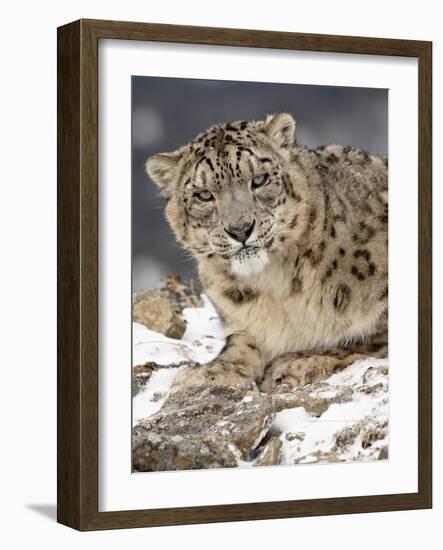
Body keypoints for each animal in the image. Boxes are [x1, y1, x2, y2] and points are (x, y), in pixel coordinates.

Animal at [147, 114, 388, 394]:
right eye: (204, 195)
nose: (240, 229)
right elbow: (237, 347)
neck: (277, 287)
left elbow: (362, 340)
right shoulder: (244, 326)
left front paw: (294, 364)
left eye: (259, 179)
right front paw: (206, 373)